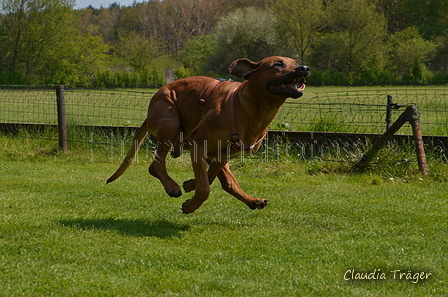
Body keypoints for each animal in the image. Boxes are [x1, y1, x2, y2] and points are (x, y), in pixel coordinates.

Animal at [108, 55, 310, 213]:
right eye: (278, 64)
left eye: (295, 62)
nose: (305, 68)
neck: (250, 108)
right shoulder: (198, 144)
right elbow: (205, 187)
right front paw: (190, 204)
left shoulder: (223, 154)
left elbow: (213, 177)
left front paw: (191, 184)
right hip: (169, 121)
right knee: (155, 166)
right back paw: (173, 187)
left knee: (227, 181)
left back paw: (252, 201)